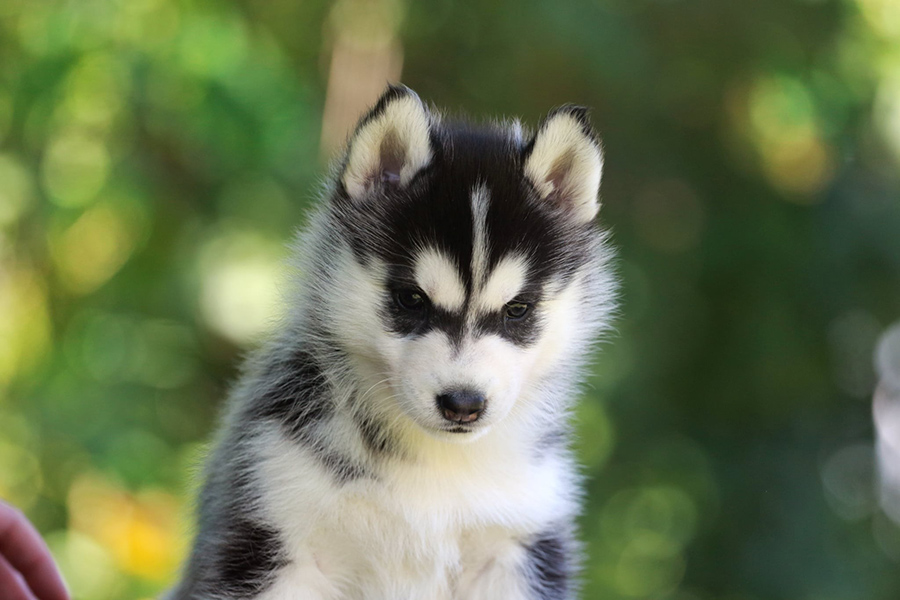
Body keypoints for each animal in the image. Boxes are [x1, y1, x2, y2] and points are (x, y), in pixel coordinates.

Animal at [167, 85, 617, 600]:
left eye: (517, 309)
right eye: (411, 299)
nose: (463, 404)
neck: (436, 468)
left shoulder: (518, 545)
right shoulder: (276, 522)